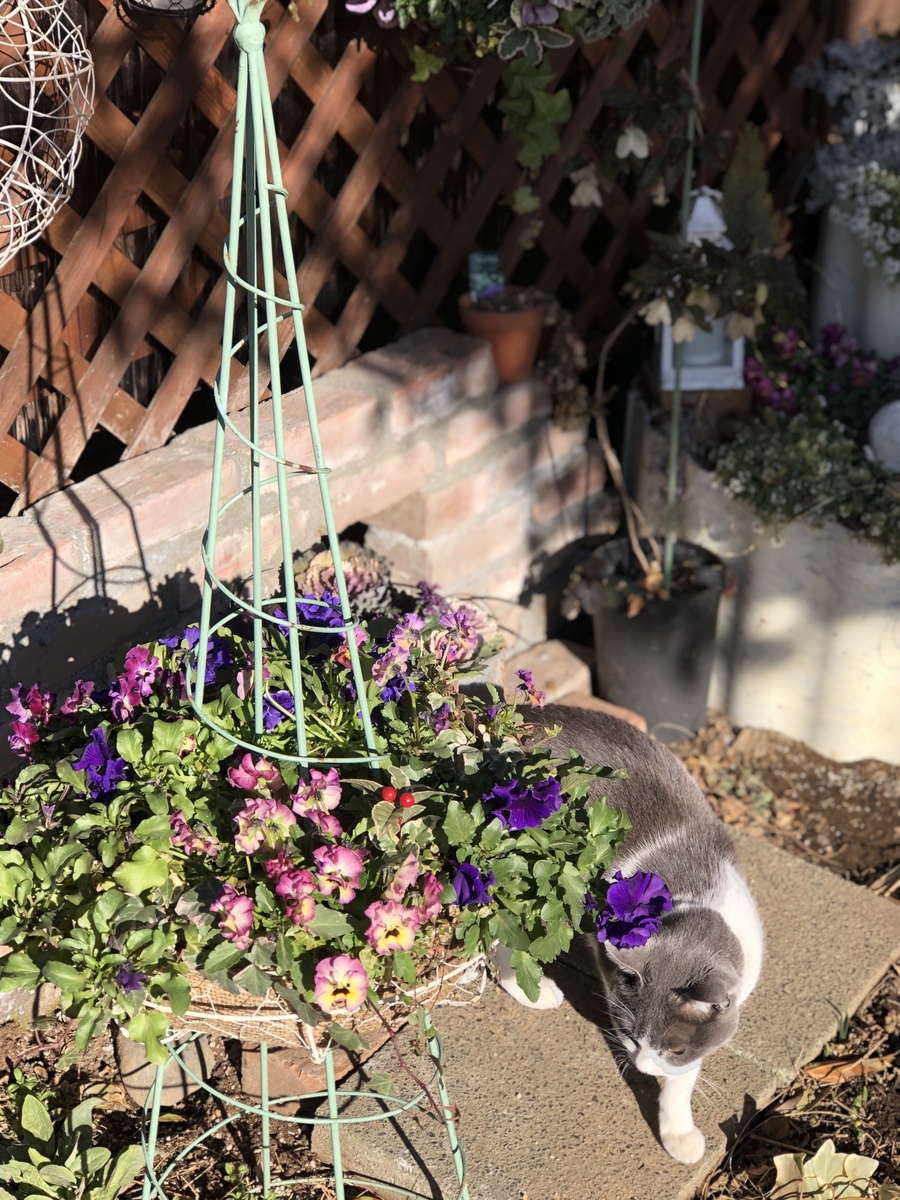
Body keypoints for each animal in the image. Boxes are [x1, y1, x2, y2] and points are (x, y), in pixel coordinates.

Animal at [493, 704, 763, 1165]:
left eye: (674, 1048)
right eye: (629, 1034)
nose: (643, 1067)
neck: (690, 897)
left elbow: (686, 1073)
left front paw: (677, 1129)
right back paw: (533, 990)